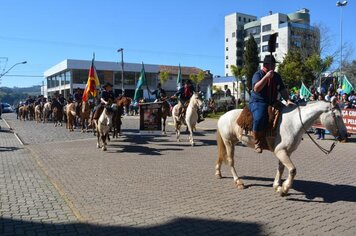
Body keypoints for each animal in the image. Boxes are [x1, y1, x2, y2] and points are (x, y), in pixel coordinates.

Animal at [214, 98, 348, 196]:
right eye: (337, 116)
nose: (345, 136)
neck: (294, 122)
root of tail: (222, 116)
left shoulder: (286, 152)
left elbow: (281, 168)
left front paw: (277, 186)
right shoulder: (280, 151)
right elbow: (293, 170)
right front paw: (284, 189)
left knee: (221, 157)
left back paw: (218, 173)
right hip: (228, 142)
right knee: (231, 161)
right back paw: (238, 182)